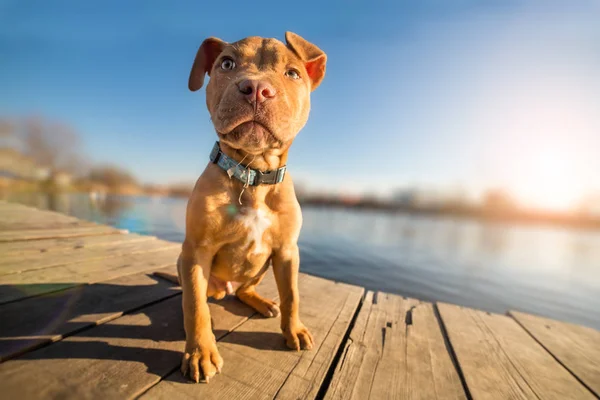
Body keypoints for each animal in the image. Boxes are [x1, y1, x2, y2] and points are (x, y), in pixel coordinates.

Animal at [173, 32, 326, 384]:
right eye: (226, 64)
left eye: (293, 73)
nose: (256, 88)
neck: (252, 174)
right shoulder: (195, 251)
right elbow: (194, 306)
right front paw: (200, 353)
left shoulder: (287, 251)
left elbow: (292, 295)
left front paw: (294, 330)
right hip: (188, 266)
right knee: (198, 297)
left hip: (263, 267)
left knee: (245, 290)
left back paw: (261, 302)